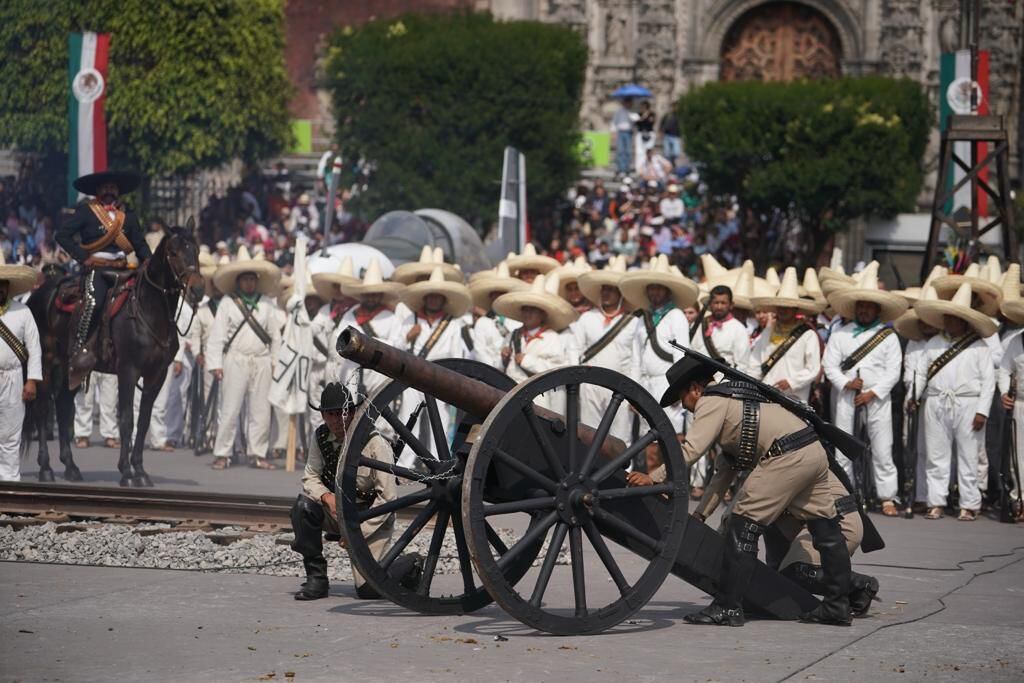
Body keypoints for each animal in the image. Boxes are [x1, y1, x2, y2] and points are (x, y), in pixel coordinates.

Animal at [27, 219, 203, 485]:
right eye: (173, 252)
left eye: (197, 250)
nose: (197, 290)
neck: (149, 312)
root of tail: (38, 293)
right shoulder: (128, 371)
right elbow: (127, 420)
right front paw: (127, 472)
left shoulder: (157, 375)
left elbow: (143, 421)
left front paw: (140, 470)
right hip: (46, 363)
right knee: (42, 408)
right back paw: (46, 468)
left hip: (72, 366)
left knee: (64, 405)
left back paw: (71, 467)